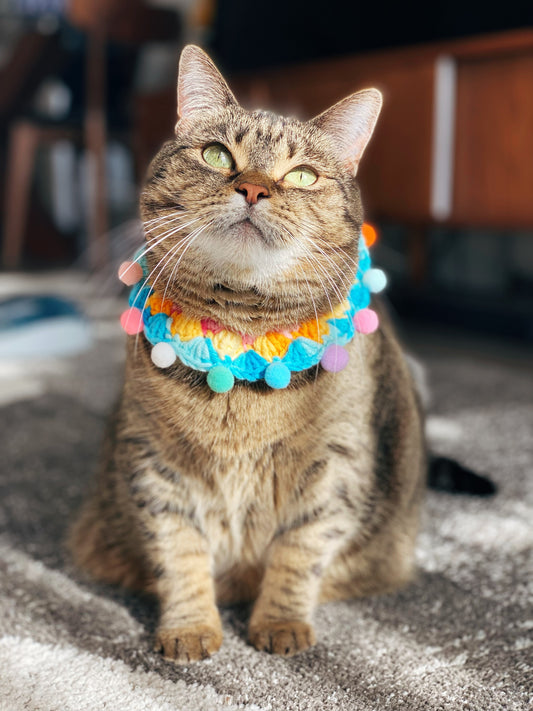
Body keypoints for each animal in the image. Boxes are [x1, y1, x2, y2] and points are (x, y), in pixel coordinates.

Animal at [70, 47, 426, 664]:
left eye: (301, 174)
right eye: (218, 155)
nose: (254, 189)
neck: (241, 347)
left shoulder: (334, 471)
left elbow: (299, 554)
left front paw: (281, 624)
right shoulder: (154, 465)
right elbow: (180, 554)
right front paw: (190, 628)